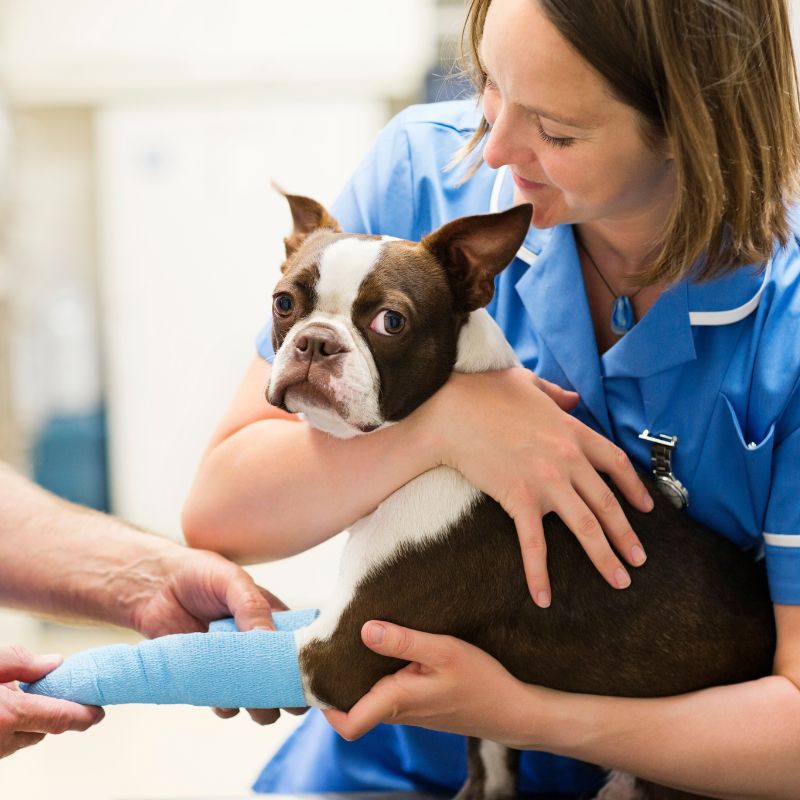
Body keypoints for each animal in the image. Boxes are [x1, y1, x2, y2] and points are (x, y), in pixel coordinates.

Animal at [268, 192, 776, 800]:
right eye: (283, 303)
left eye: (390, 321)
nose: (316, 341)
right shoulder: (486, 744)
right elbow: (488, 771)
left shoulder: (338, 653)